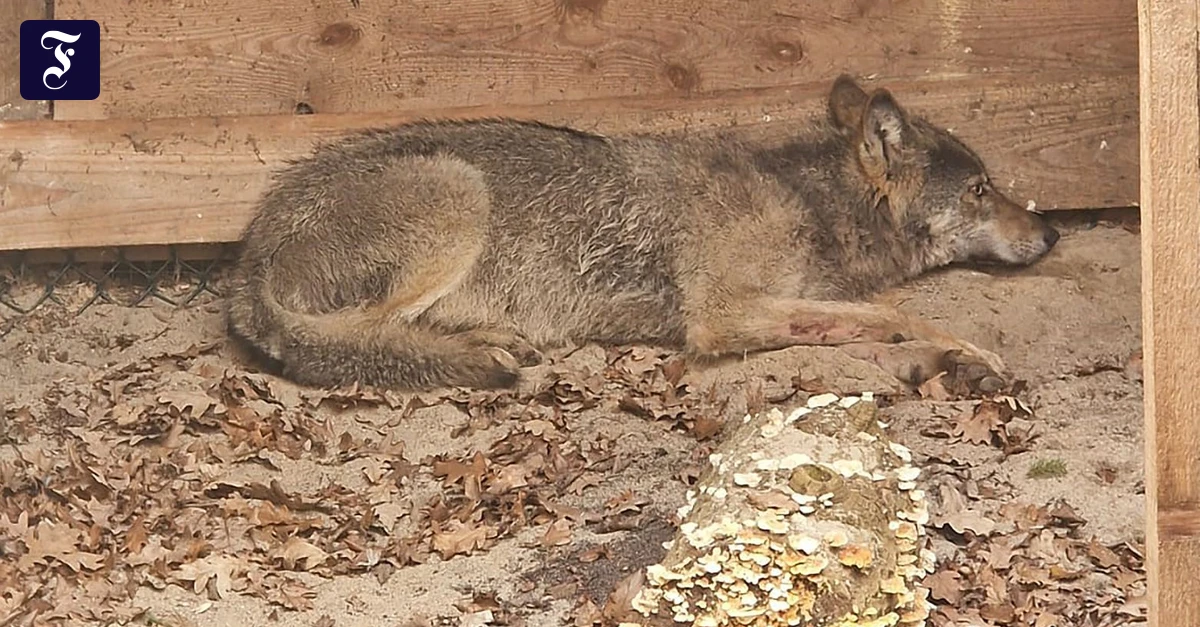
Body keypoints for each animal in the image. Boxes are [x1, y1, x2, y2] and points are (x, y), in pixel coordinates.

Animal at [224, 74, 1060, 392]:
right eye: (982, 190)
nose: (1051, 232)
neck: (806, 200)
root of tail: (249, 252)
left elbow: (867, 316)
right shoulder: (721, 314)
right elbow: (897, 314)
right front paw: (968, 354)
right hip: (459, 192)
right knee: (357, 338)